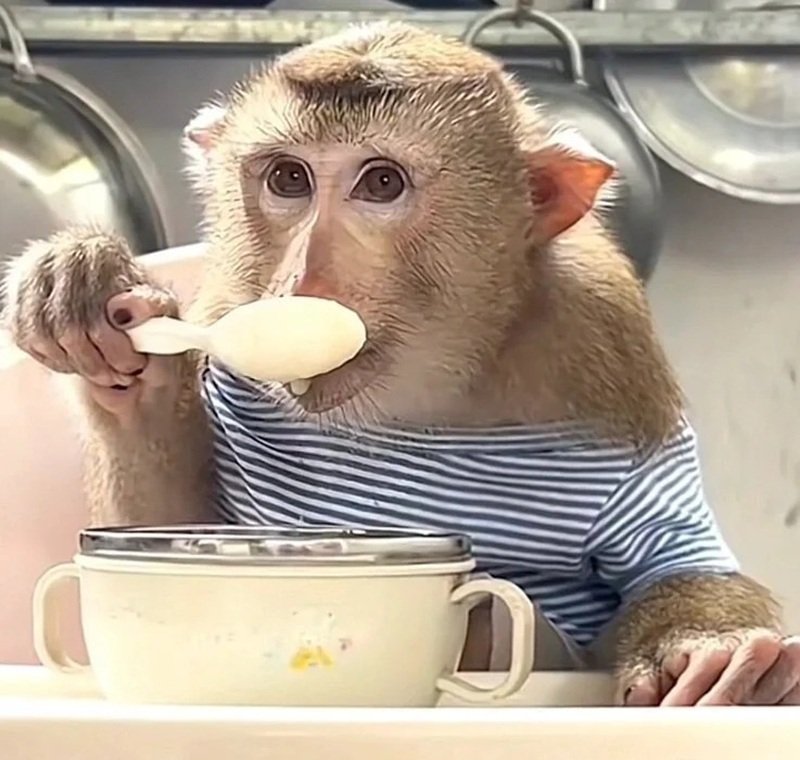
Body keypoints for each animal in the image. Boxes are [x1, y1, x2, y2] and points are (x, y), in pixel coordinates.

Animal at [3, 21, 800, 707]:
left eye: (381, 184)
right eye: (288, 178)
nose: (302, 280)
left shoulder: (611, 349)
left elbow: (670, 565)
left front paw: (708, 648)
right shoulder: (228, 309)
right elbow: (177, 528)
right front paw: (98, 301)